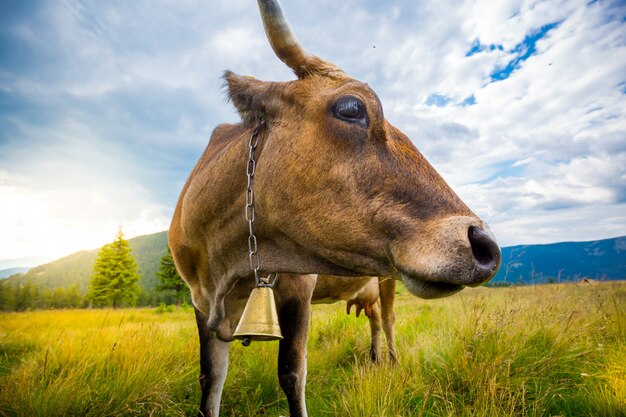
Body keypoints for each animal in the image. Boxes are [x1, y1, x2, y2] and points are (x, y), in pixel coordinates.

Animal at [168, 1, 500, 414]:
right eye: (351, 108)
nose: (484, 243)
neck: (227, 263)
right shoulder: (200, 300)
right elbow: (210, 380)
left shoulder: (297, 287)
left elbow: (291, 374)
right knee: (375, 320)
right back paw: (374, 358)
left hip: (389, 279)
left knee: (388, 319)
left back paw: (391, 361)